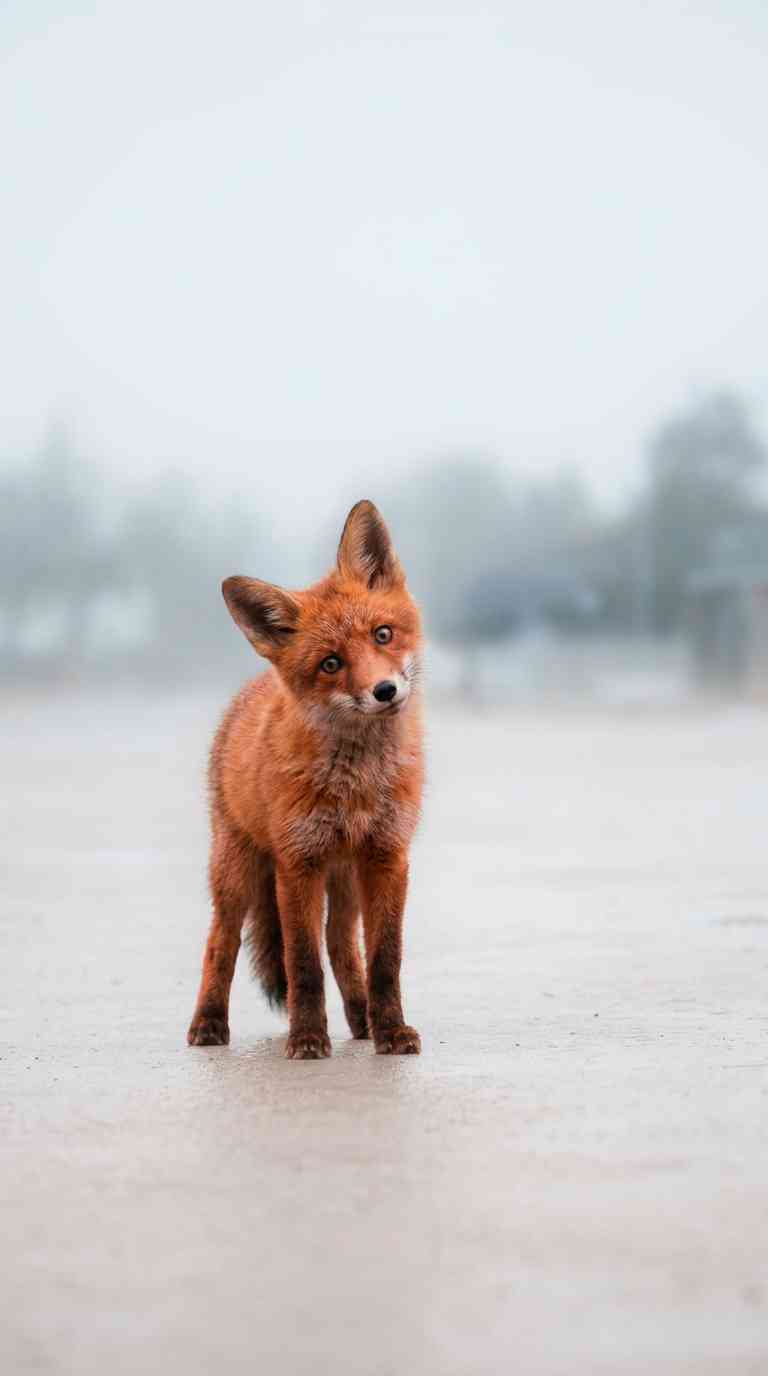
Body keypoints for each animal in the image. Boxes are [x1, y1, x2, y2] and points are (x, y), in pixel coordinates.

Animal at [187, 499, 424, 1059]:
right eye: (331, 663)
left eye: (383, 634)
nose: (385, 691)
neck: (357, 784)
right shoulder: (298, 863)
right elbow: (302, 965)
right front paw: (308, 1038)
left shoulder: (388, 856)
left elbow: (384, 961)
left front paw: (392, 1031)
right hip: (239, 873)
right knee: (220, 943)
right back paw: (208, 1024)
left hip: (347, 881)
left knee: (341, 947)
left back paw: (363, 1022)